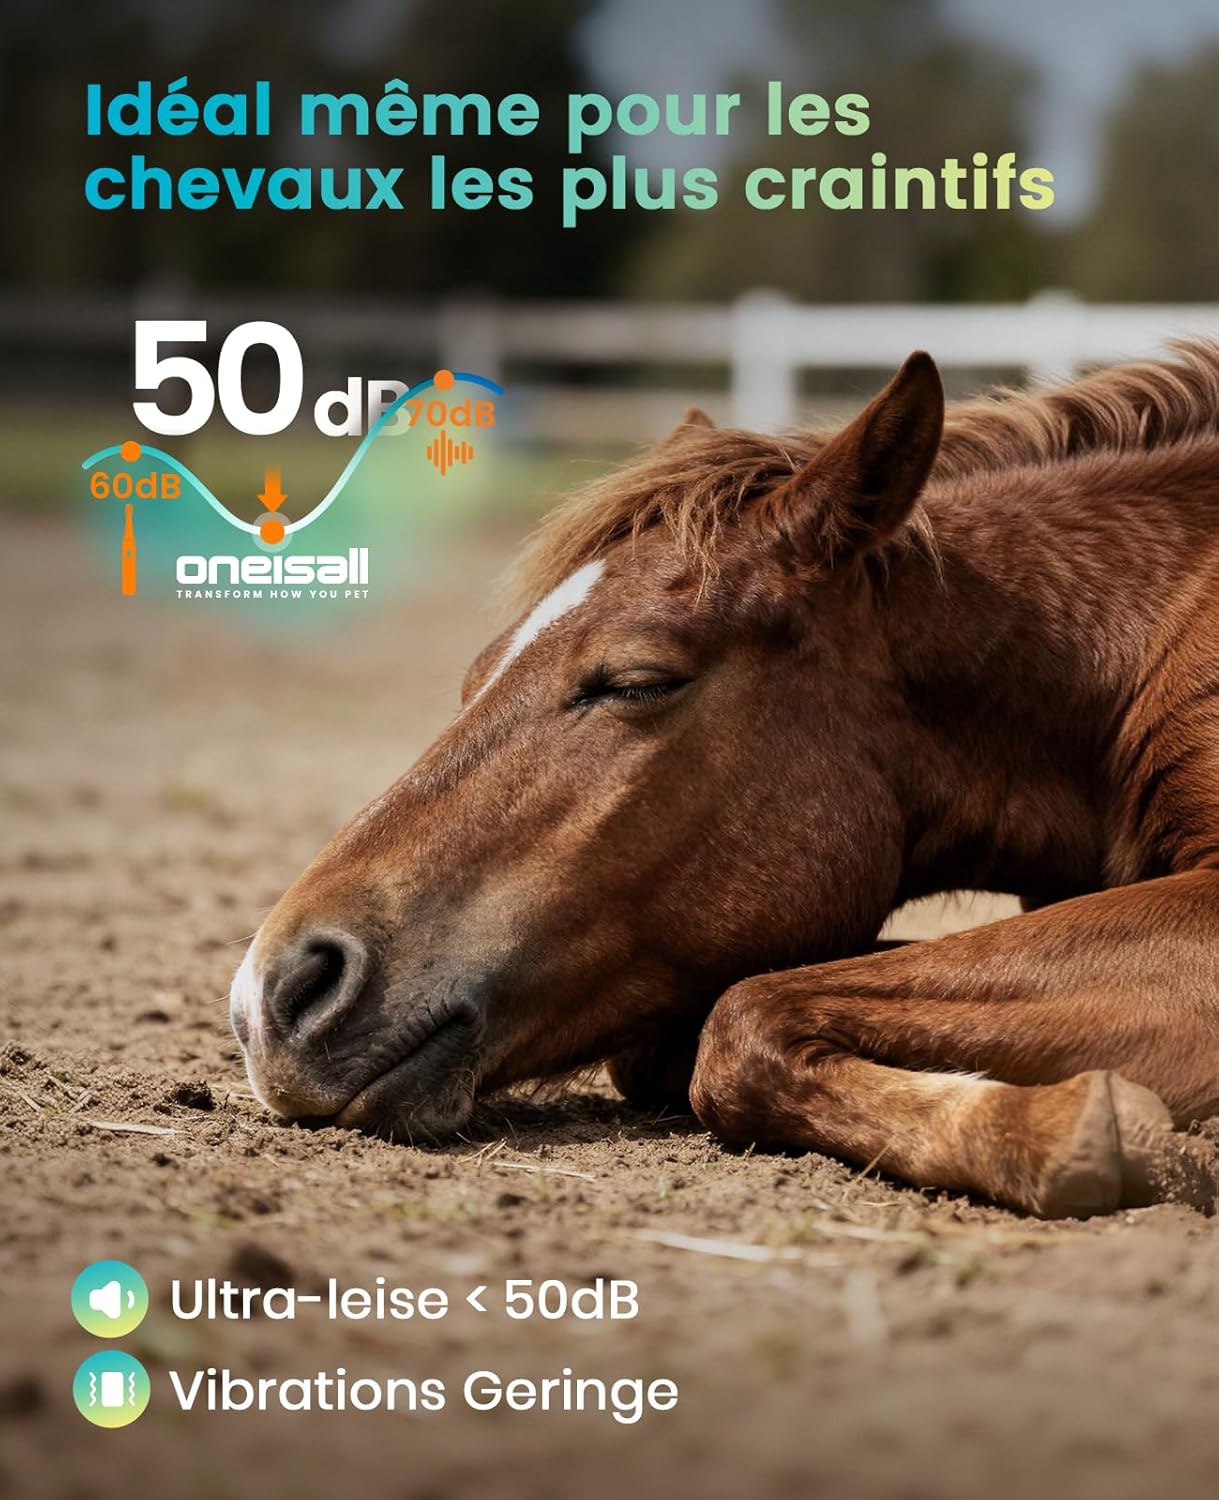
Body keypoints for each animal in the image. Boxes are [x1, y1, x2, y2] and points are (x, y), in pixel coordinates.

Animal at [230, 343, 1219, 1219]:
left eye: (637, 682)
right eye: (474, 678)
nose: (274, 996)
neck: (1125, 645)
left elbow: (744, 1016)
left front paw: (1081, 1127)